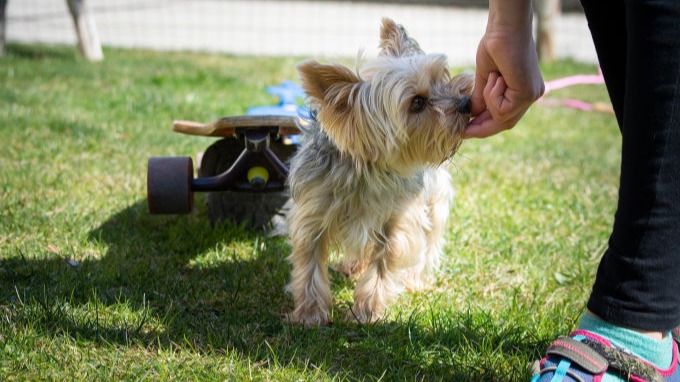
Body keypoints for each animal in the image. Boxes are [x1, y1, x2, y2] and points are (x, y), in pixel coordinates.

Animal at [286, 17, 472, 326]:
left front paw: (367, 311)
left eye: (441, 78)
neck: (367, 169)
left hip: (435, 200)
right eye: (417, 103)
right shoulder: (313, 213)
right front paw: (309, 314)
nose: (467, 103)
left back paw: (416, 280)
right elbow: (310, 263)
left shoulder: (399, 218)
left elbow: (387, 258)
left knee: (429, 239)